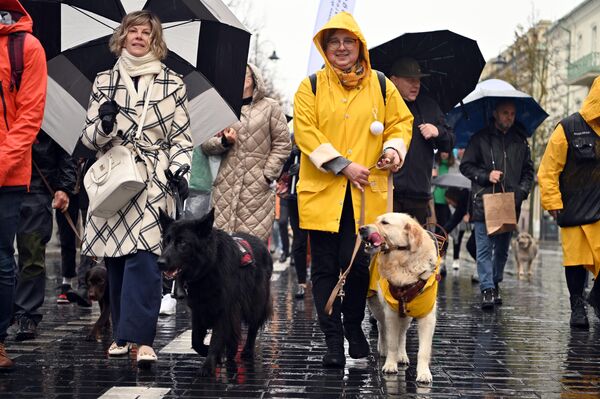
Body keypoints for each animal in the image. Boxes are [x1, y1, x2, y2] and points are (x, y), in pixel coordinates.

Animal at [158, 209, 274, 378]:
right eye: (166, 241)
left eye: (182, 243)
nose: (159, 263)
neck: (208, 267)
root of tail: (262, 244)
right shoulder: (199, 309)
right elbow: (196, 341)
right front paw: (213, 355)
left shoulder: (224, 309)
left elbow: (217, 337)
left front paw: (209, 364)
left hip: (256, 302)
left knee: (253, 326)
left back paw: (246, 350)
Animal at [358, 212, 438, 384]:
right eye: (376, 220)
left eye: (385, 223)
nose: (361, 229)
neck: (404, 263)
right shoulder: (391, 313)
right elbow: (392, 342)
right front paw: (390, 364)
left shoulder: (427, 316)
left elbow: (423, 350)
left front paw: (424, 373)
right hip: (378, 307)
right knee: (382, 327)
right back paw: (383, 349)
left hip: (407, 314)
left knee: (402, 334)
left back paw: (402, 355)